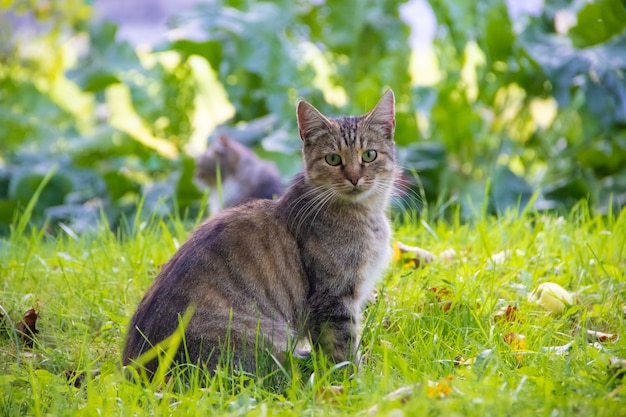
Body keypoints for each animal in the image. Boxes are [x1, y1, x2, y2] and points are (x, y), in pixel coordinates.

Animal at [121, 89, 394, 376]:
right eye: (332, 159)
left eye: (369, 155)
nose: (354, 178)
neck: (366, 215)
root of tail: (138, 373)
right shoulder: (332, 299)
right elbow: (343, 351)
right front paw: (354, 381)